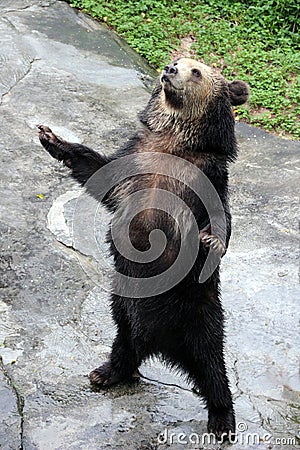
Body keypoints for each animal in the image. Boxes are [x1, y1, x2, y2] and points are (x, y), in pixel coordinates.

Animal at [37, 58, 248, 442]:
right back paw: (106, 372)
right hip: (122, 304)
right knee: (124, 340)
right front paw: (51, 137)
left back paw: (222, 420)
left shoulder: (204, 176)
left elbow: (220, 216)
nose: (170, 69)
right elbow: (98, 172)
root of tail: (161, 346)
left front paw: (212, 240)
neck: (173, 143)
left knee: (212, 364)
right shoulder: (136, 158)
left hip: (198, 312)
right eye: (178, 59)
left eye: (196, 71)